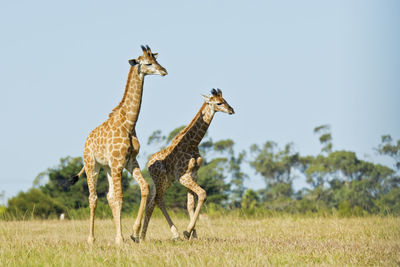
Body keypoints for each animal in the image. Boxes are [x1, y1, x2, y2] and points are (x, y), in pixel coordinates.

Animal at [70, 45, 167, 245]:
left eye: (156, 59)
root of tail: (86, 140)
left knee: (108, 196)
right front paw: (120, 239)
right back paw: (91, 239)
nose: (164, 71)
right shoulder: (118, 163)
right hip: (92, 165)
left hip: (107, 167)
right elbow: (120, 197)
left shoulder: (129, 161)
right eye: (147, 63)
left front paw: (134, 233)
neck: (129, 123)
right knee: (93, 197)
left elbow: (144, 188)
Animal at [141, 89, 234, 242]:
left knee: (152, 202)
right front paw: (187, 231)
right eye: (218, 103)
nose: (231, 110)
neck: (193, 142)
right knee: (158, 200)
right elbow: (202, 194)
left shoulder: (193, 174)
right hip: (161, 179)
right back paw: (173, 233)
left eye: (225, 100)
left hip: (165, 181)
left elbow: (190, 204)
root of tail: (148, 164)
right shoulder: (183, 177)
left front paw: (193, 235)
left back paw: (140, 236)